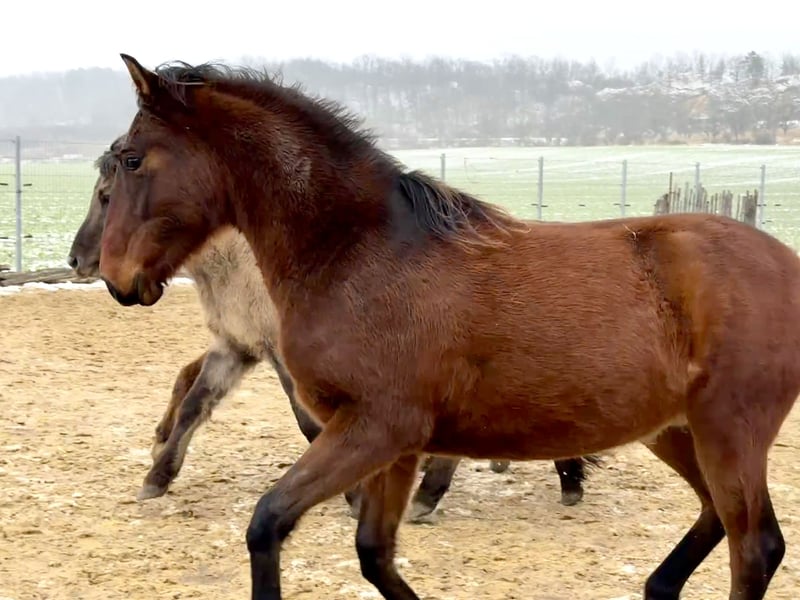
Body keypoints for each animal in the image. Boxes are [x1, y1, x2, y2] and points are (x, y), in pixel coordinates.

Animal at [68, 137, 599, 520]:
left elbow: (309, 424)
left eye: (106, 196)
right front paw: (157, 478)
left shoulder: (285, 355)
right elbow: (194, 406)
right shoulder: (235, 347)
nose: (78, 260)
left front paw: (353, 497)